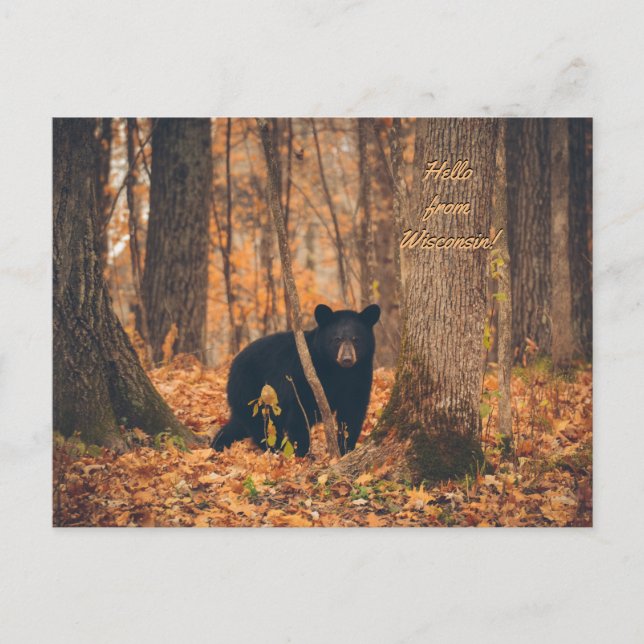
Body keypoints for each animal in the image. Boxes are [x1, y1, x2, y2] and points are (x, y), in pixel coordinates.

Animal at [211, 303, 380, 456]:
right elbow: (300, 411)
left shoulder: (359, 376)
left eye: (356, 339)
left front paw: (345, 448)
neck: (338, 370)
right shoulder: (305, 374)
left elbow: (353, 411)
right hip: (251, 391)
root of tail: (232, 365)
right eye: (337, 339)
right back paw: (276, 448)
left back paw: (218, 443)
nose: (347, 359)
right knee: (260, 424)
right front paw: (303, 453)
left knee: (238, 424)